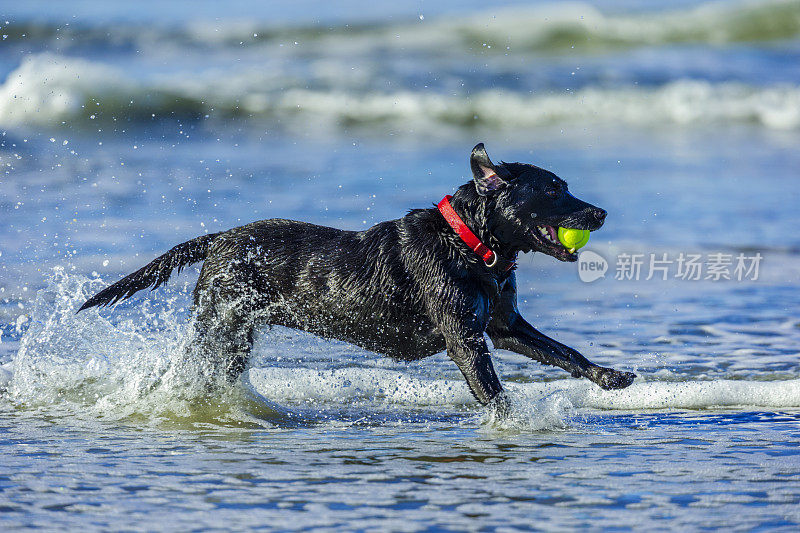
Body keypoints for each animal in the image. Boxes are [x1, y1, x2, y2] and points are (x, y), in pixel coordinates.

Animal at [79, 143, 632, 406]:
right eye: (556, 189)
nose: (602, 212)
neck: (470, 245)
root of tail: (219, 239)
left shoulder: (503, 326)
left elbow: (565, 351)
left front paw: (609, 376)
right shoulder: (465, 339)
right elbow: (494, 393)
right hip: (219, 327)